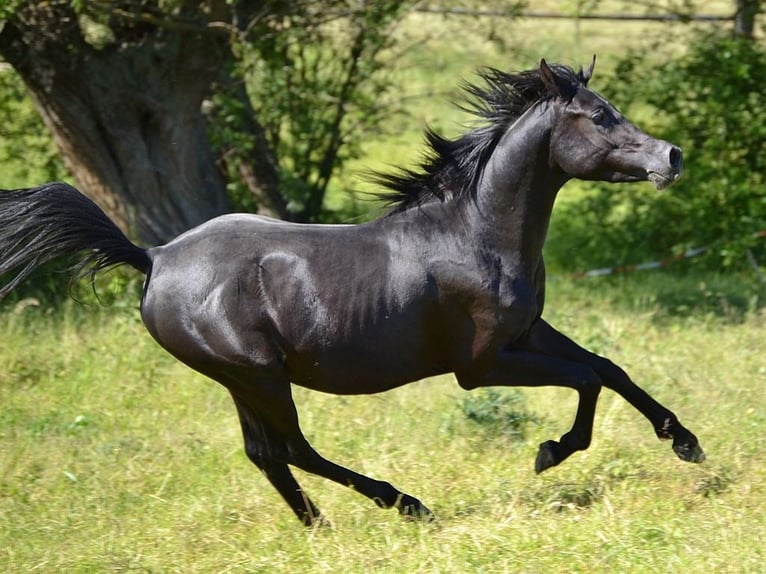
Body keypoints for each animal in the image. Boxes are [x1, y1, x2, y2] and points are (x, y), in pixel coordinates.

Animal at [0, 58, 703, 526]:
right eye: (598, 116)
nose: (671, 157)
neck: (474, 231)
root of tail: (155, 258)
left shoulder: (527, 331)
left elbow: (608, 368)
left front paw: (685, 441)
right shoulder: (482, 363)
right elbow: (585, 380)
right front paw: (550, 453)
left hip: (240, 380)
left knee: (266, 454)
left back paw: (319, 526)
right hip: (257, 374)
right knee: (291, 448)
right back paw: (406, 504)